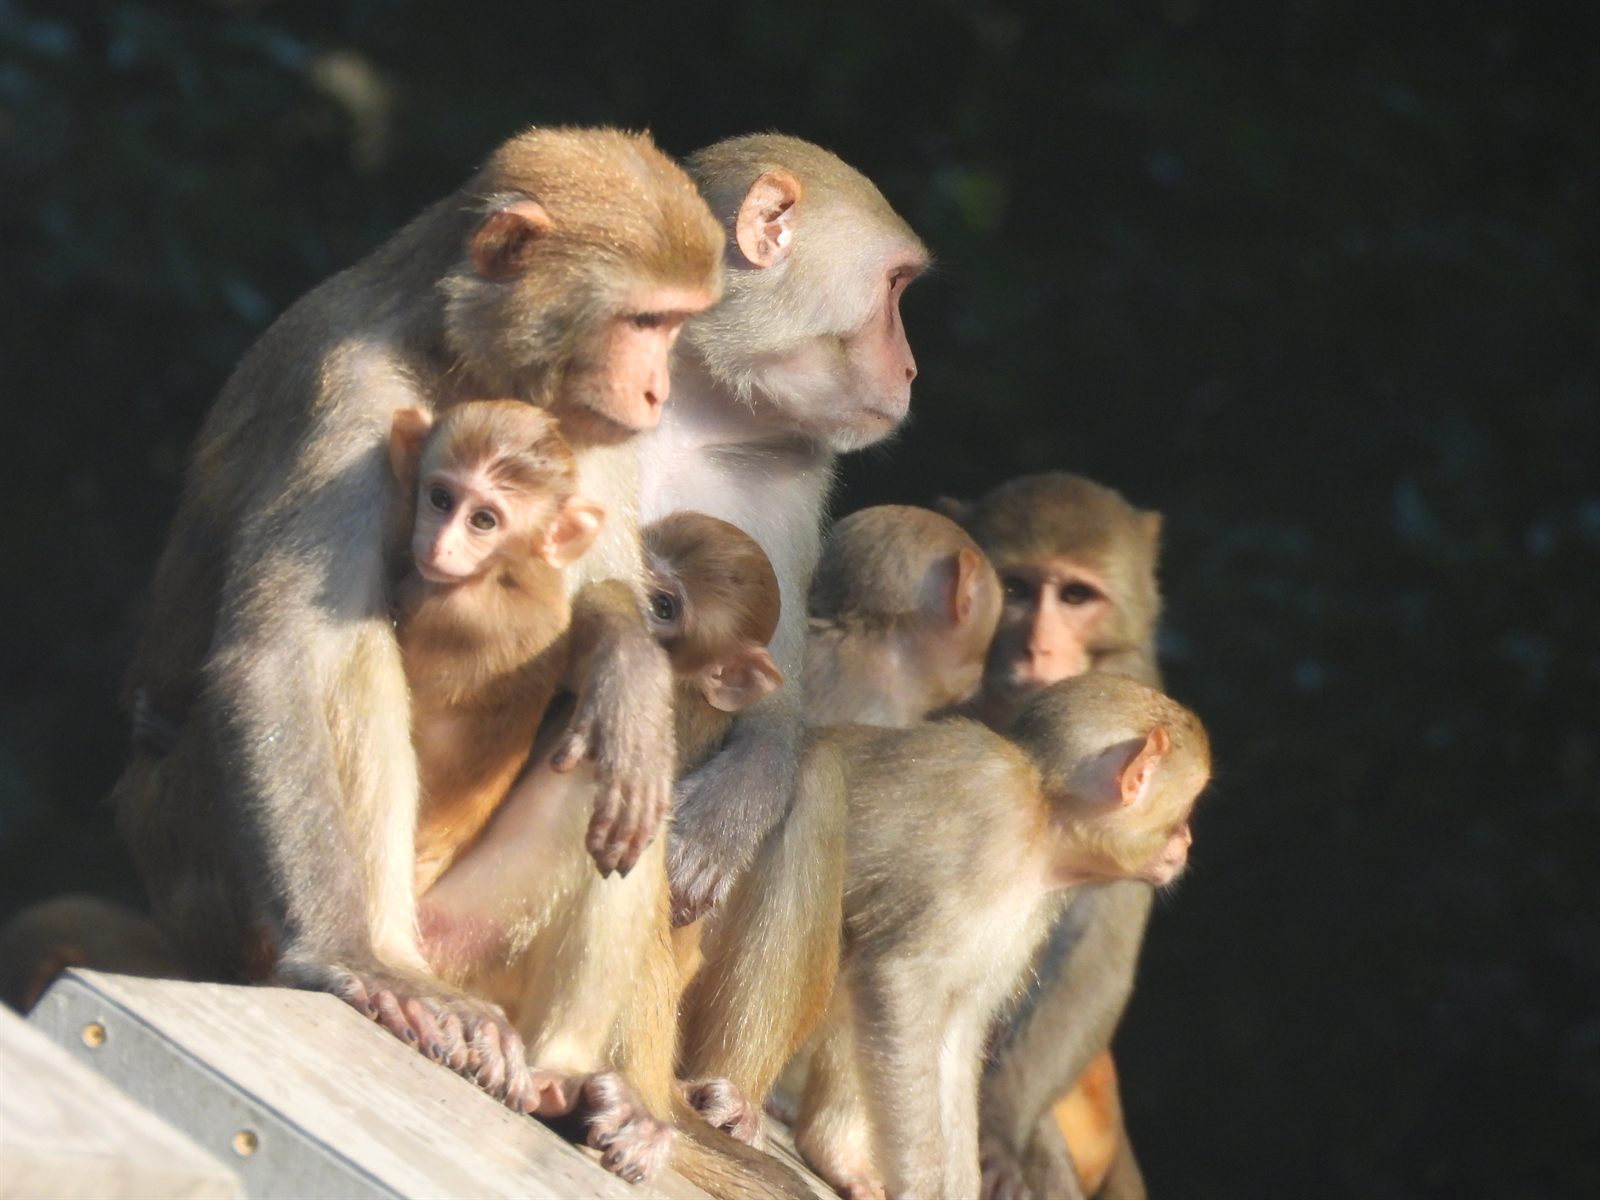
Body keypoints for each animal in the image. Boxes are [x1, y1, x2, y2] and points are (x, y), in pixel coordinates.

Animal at [637, 134, 931, 927]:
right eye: (895, 288)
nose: (912, 370)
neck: (690, 402)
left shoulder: (795, 474)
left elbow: (773, 697)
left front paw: (718, 827)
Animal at [791, 675, 1210, 1200]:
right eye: (1186, 809)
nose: (1187, 843)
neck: (1043, 819)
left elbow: (955, 1024)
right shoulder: (987, 839)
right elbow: (901, 979)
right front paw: (923, 1189)